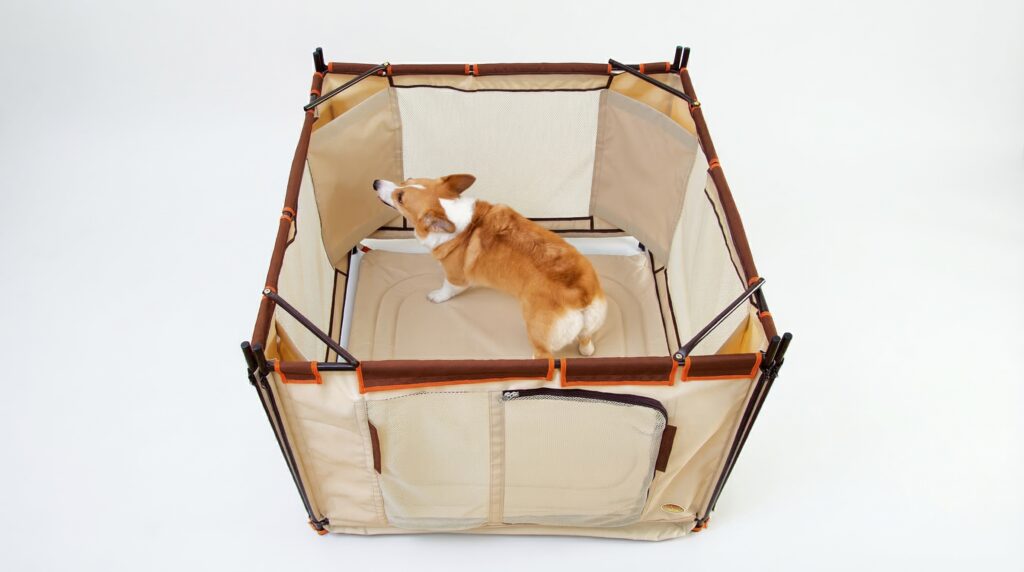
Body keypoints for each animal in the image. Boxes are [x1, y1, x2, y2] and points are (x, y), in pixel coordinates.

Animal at [372, 174, 606, 358]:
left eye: (400, 198)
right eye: (406, 179)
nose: (375, 183)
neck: (452, 213)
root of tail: (581, 295)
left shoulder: (455, 277)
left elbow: (446, 288)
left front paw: (436, 296)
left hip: (536, 331)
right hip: (590, 326)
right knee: (586, 341)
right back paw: (586, 350)